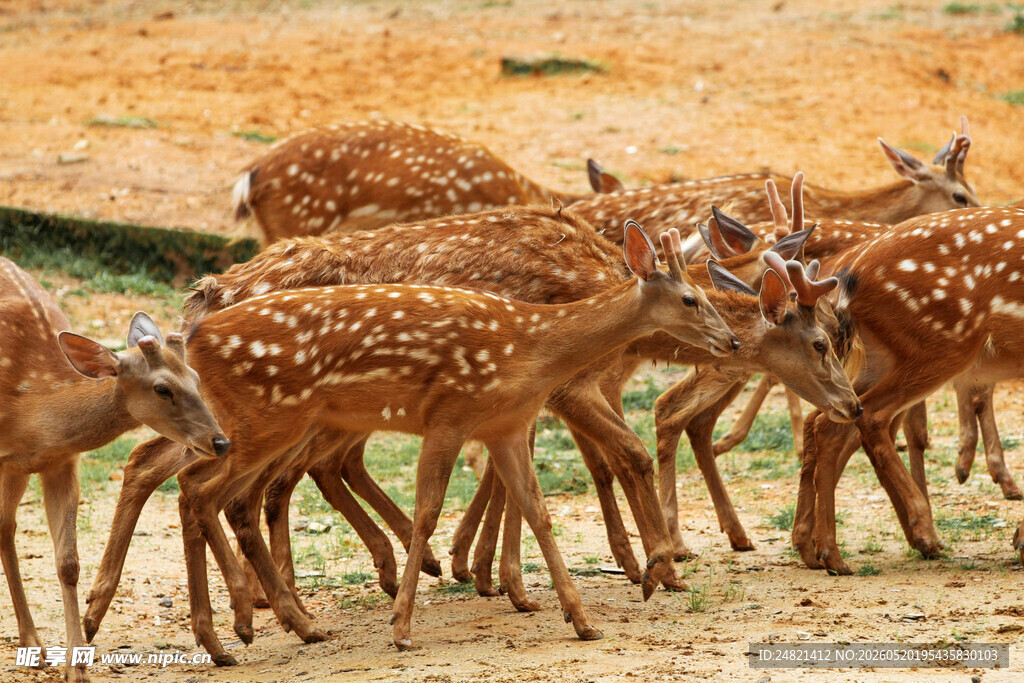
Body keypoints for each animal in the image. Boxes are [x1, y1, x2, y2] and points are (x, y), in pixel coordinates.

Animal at [0, 257, 227, 683]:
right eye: (162, 388)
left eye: (196, 377)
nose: (220, 441)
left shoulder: (59, 462)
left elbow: (68, 563)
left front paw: (76, 667)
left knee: (6, 528)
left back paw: (33, 643)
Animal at [790, 206, 1024, 575]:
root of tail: (850, 274)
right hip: (945, 342)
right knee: (864, 418)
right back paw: (916, 531)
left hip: (884, 356)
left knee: (826, 420)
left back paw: (817, 550)